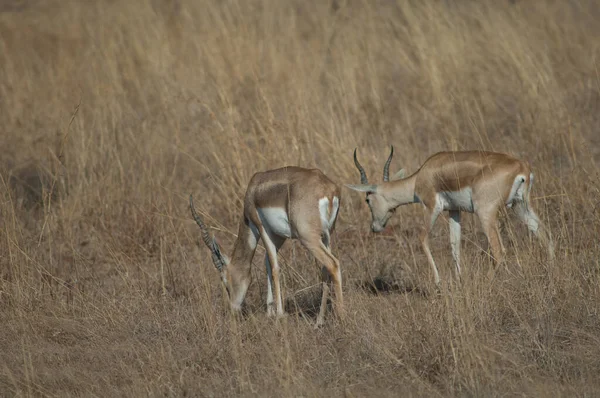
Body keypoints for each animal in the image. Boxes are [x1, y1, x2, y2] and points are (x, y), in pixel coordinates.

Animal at [190, 166, 344, 324]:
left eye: (225, 281)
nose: (233, 310)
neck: (253, 190)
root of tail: (329, 189)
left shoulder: (262, 228)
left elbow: (275, 268)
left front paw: (280, 314)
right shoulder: (279, 237)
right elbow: (268, 264)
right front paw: (270, 312)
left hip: (308, 238)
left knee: (333, 264)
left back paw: (341, 317)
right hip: (326, 236)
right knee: (326, 269)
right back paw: (319, 320)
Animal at [344, 148, 556, 284]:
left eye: (367, 200)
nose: (374, 227)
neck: (421, 176)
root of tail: (521, 168)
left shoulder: (431, 207)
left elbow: (422, 239)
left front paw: (438, 283)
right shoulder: (454, 211)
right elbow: (455, 245)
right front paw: (459, 280)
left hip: (485, 213)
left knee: (499, 250)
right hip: (520, 207)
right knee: (546, 236)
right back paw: (550, 276)